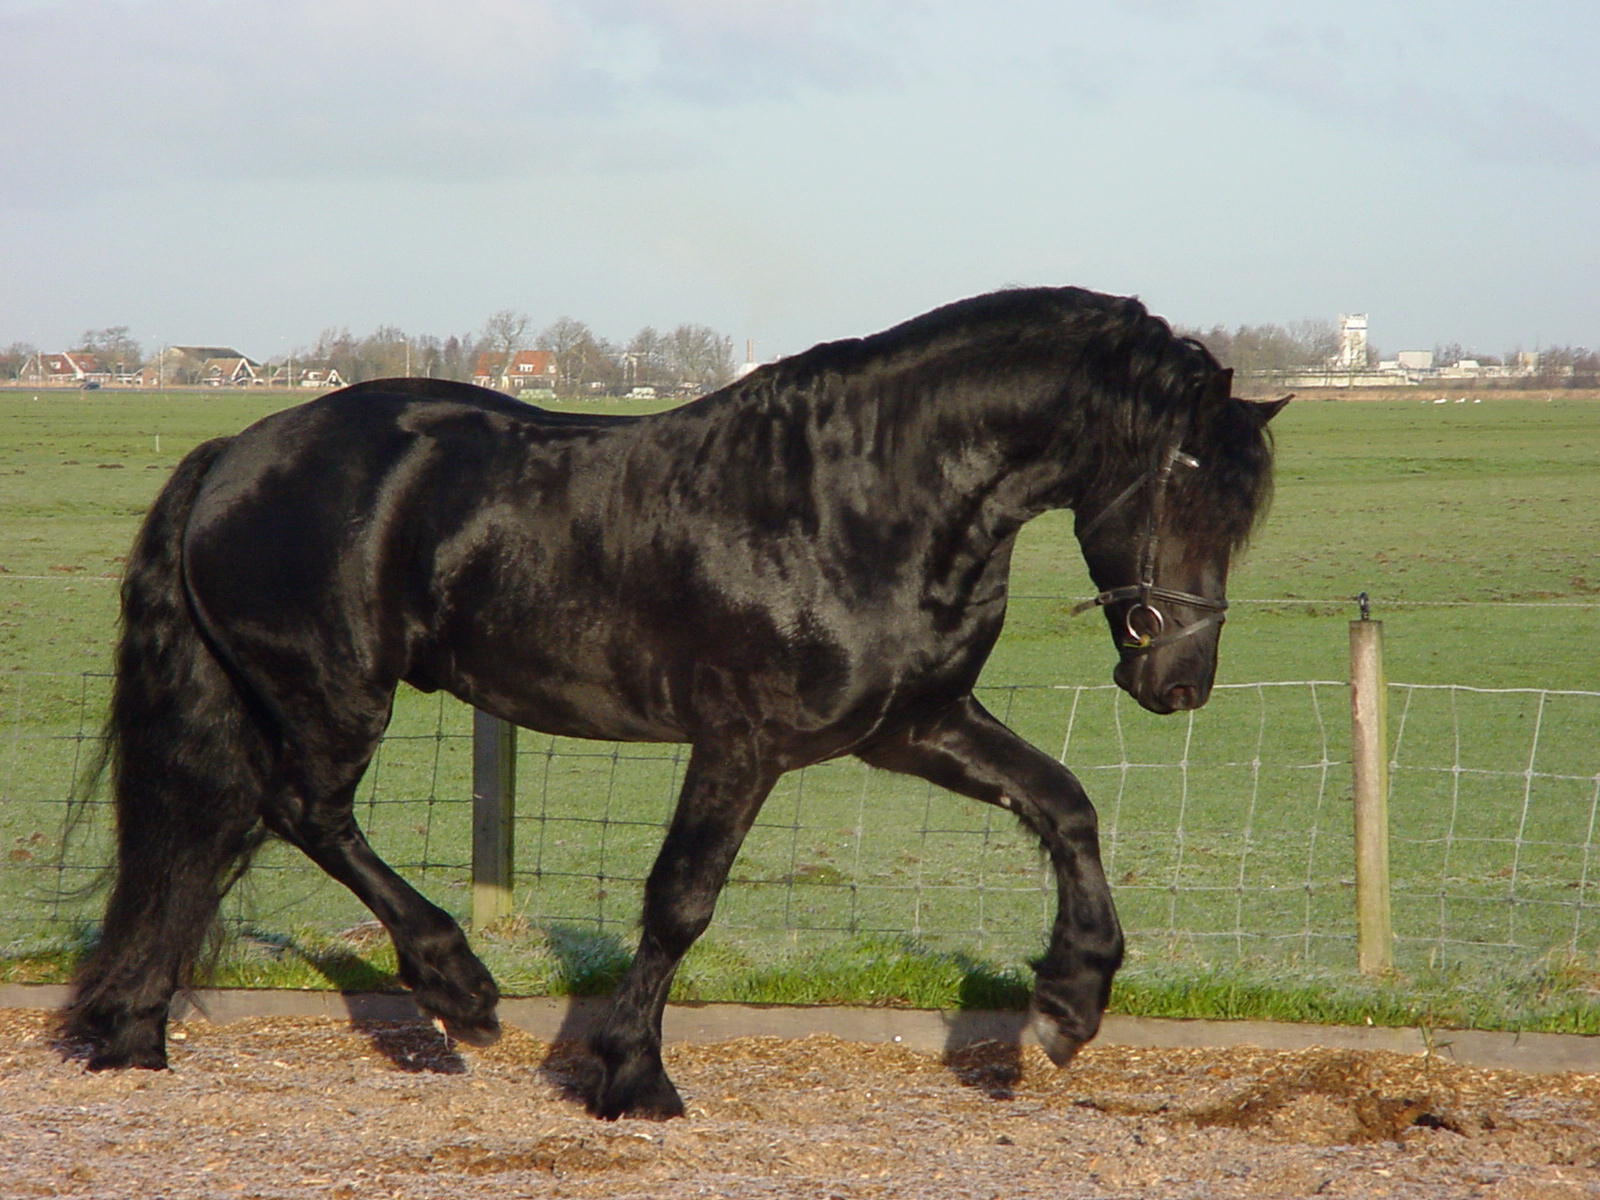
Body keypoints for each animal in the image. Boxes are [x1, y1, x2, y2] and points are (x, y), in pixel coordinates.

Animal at [68, 286, 1280, 1126]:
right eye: (1180, 481)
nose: (1178, 682)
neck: (859, 500)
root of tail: (235, 451)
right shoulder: (743, 743)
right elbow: (681, 901)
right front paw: (631, 1077)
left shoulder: (912, 728)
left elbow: (1064, 804)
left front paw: (1072, 999)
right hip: (330, 694)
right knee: (299, 813)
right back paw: (457, 987)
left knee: (206, 836)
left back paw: (133, 1033)